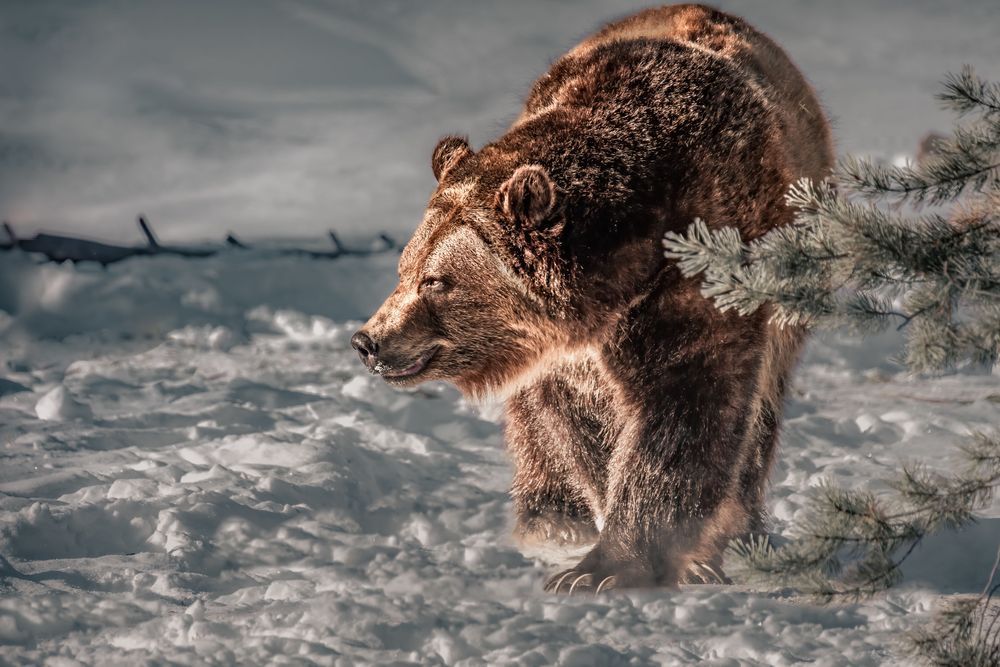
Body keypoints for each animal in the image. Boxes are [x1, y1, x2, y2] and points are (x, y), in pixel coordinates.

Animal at [352, 4, 833, 591]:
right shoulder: (557, 354)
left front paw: (616, 564)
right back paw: (550, 517)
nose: (369, 340)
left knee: (759, 420)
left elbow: (681, 410)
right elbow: (580, 427)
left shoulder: (696, 277)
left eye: (436, 281)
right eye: (407, 267)